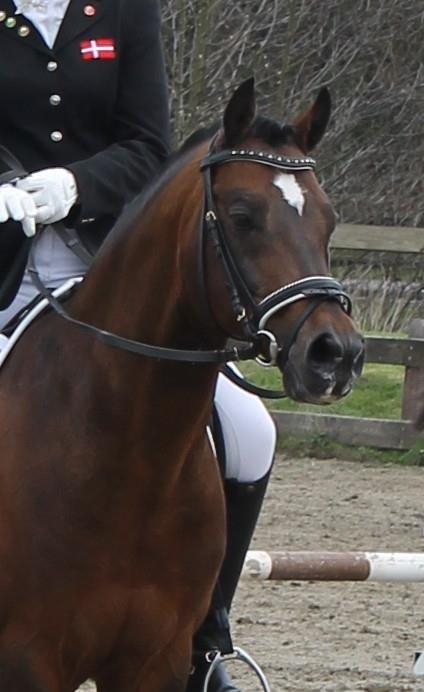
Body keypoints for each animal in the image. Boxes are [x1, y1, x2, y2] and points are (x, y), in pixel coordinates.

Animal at [0, 78, 364, 691]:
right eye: (241, 215)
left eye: (330, 219)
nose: (336, 355)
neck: (132, 456)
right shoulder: (27, 661)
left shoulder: (156, 661)